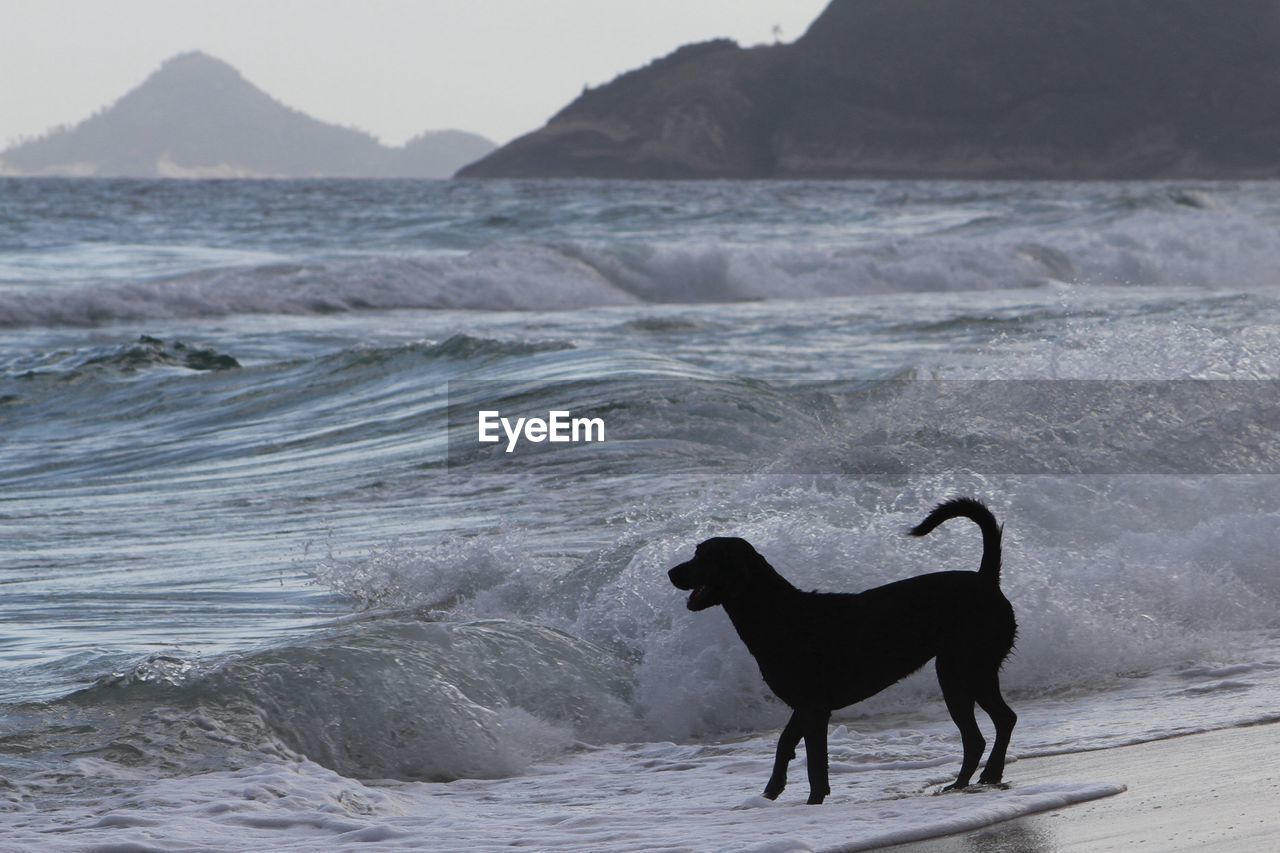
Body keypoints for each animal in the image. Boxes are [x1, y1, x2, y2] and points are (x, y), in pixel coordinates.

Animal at [670, 494, 1018, 799]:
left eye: (704, 557)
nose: (670, 571)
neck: (778, 614)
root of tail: (986, 579)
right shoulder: (806, 705)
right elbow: (785, 743)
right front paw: (772, 790)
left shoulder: (813, 708)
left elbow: (815, 765)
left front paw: (813, 801)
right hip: (968, 671)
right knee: (994, 726)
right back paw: (973, 780)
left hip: (961, 670)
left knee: (987, 729)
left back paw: (976, 778)